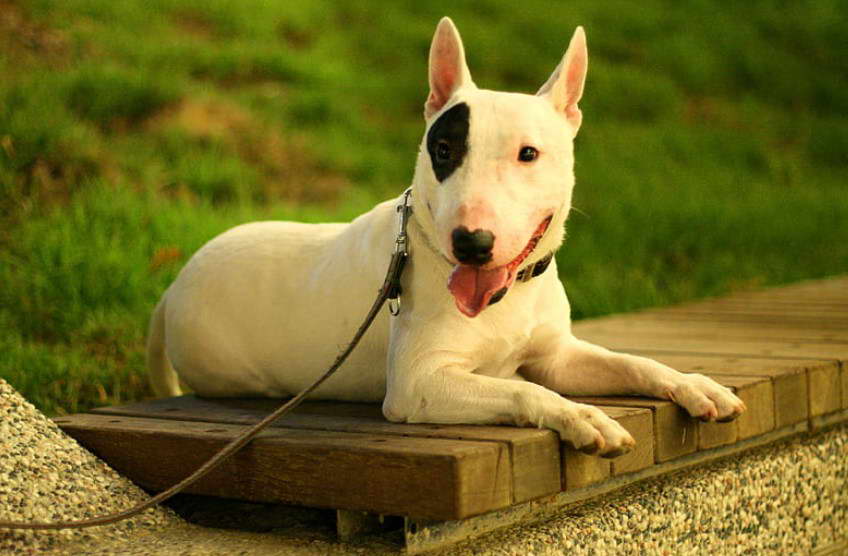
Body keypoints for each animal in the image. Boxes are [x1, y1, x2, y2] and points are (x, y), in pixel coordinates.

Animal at [149, 19, 744, 458]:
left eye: (528, 153)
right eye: (443, 150)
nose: (471, 243)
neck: (510, 294)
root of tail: (174, 285)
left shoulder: (558, 355)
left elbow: (634, 362)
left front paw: (695, 383)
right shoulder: (419, 383)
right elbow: (525, 387)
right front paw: (579, 416)